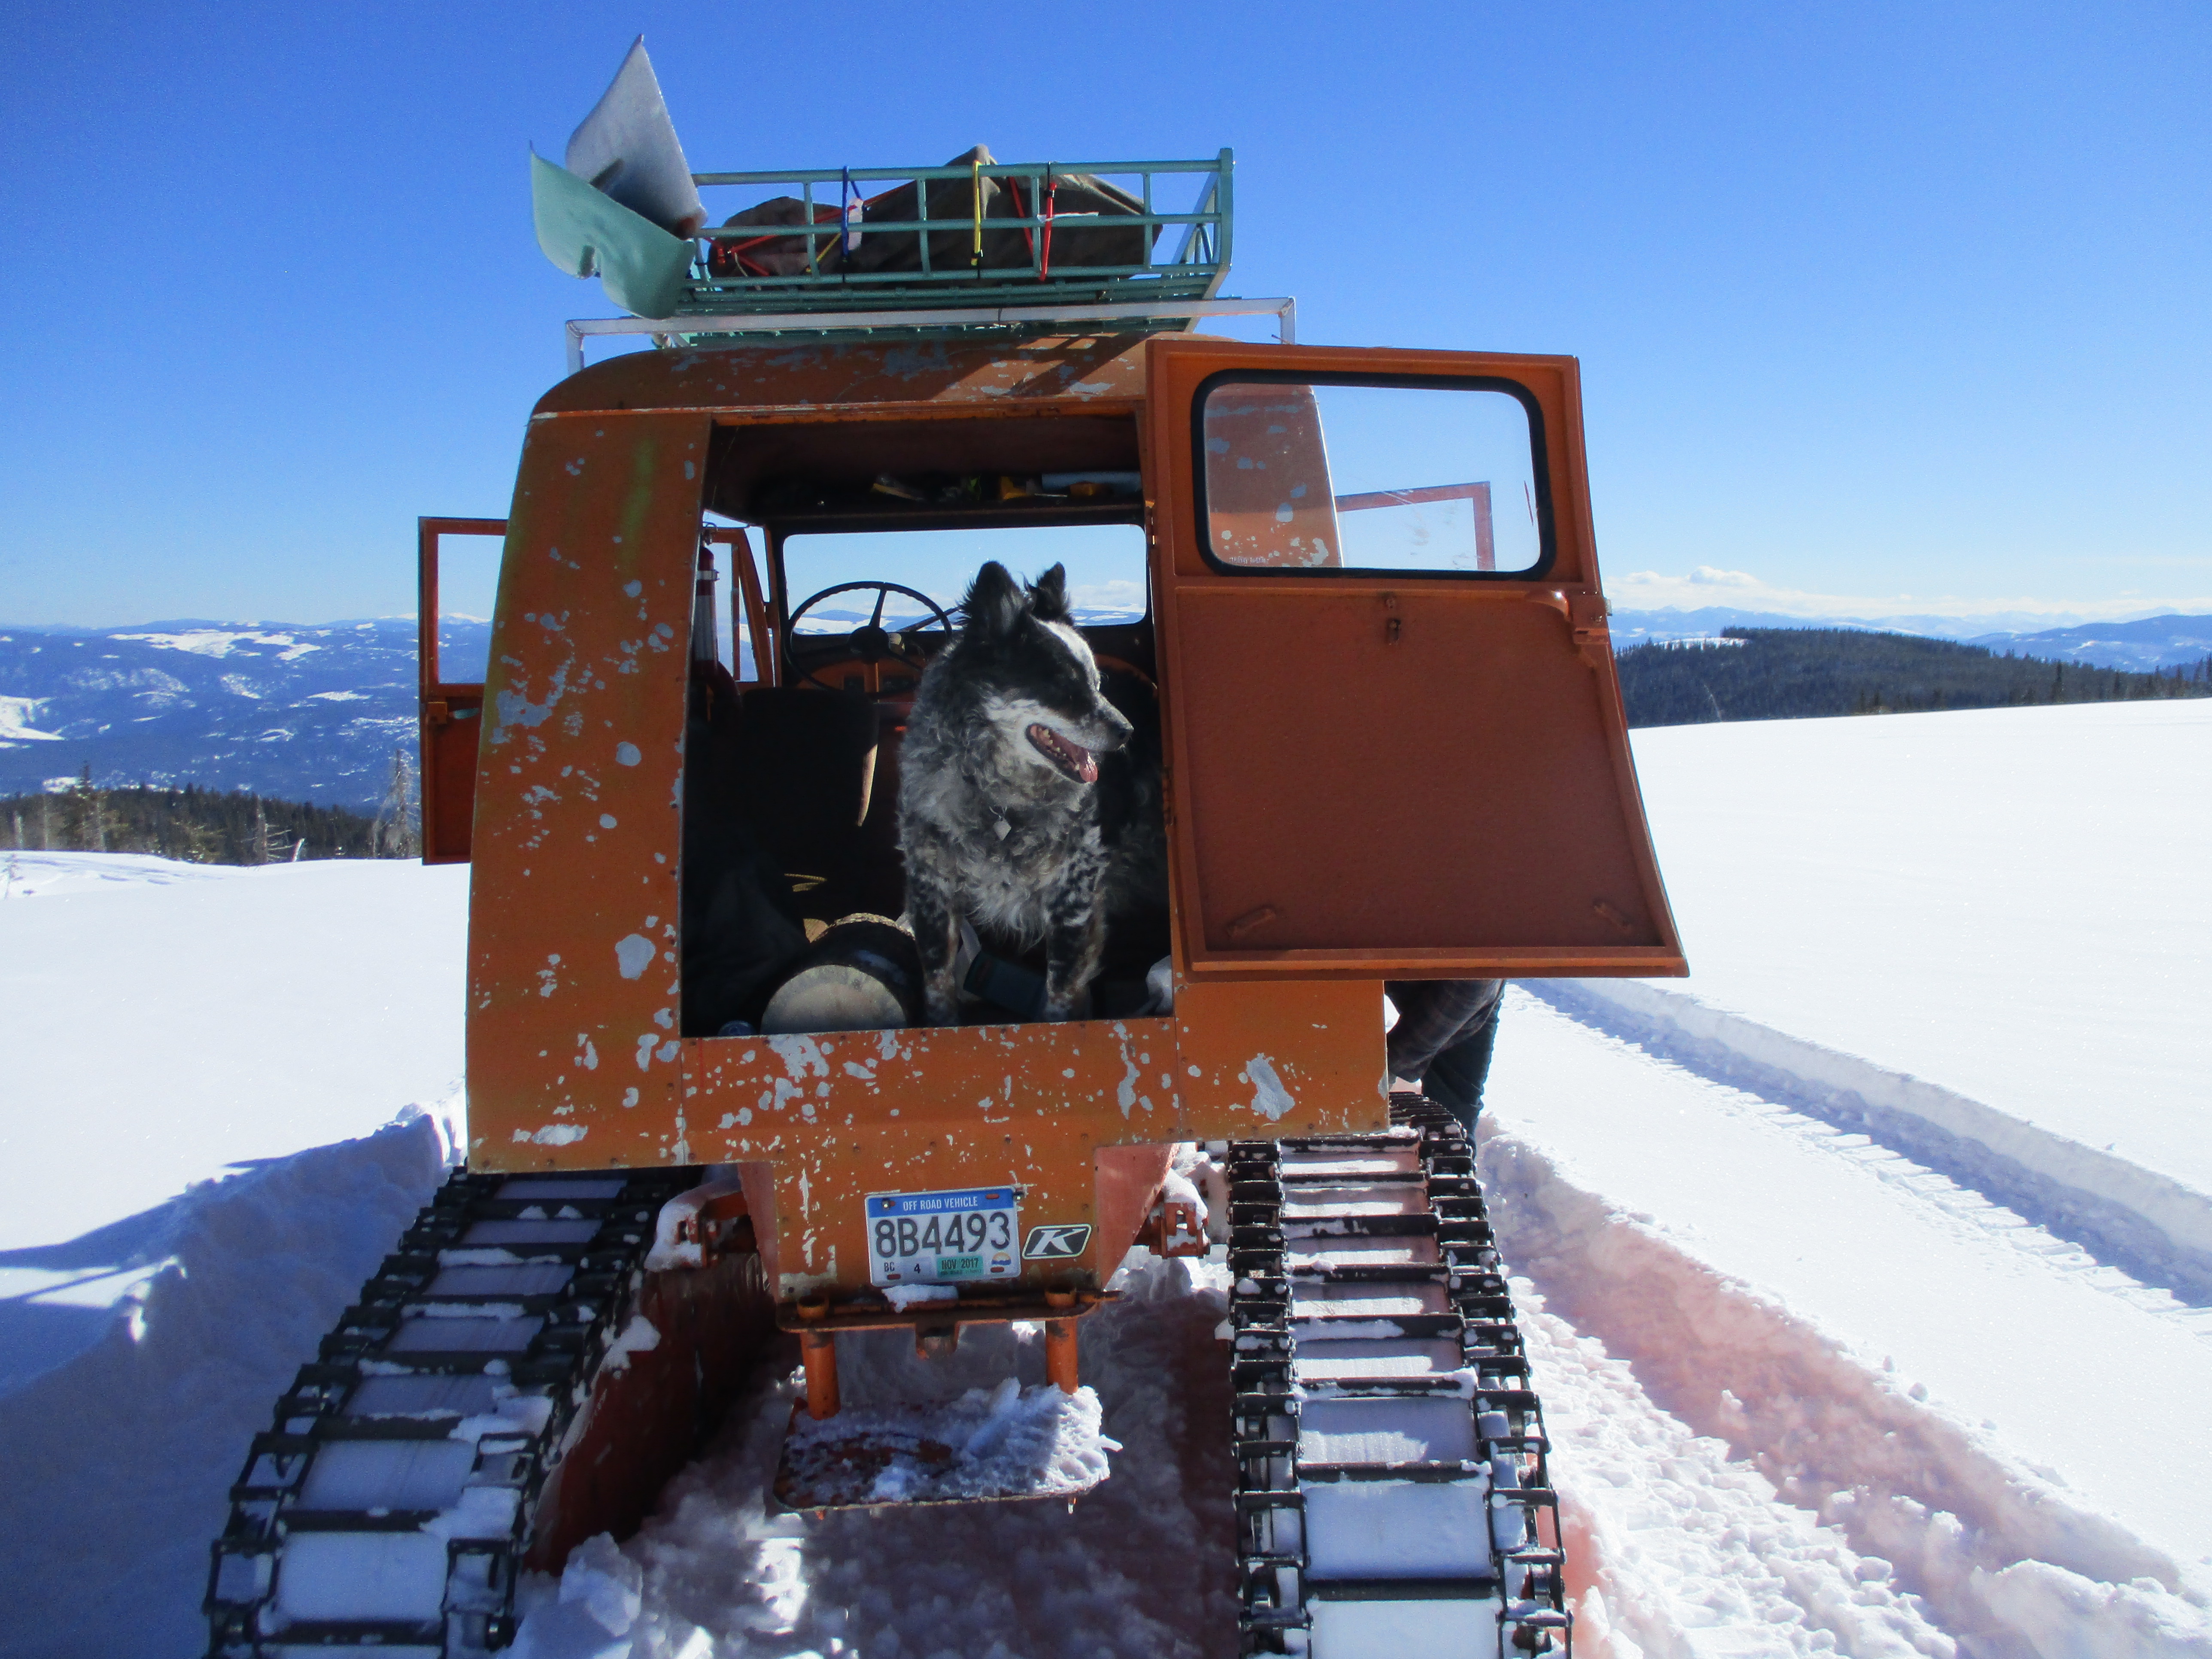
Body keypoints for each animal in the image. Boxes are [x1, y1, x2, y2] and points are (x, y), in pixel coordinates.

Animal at [893, 566, 1159, 1022]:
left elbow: (1061, 992)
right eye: (1064, 685)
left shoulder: (1074, 895)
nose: (1127, 731)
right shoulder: (931, 885)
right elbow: (938, 984)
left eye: (1096, 683)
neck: (998, 796)